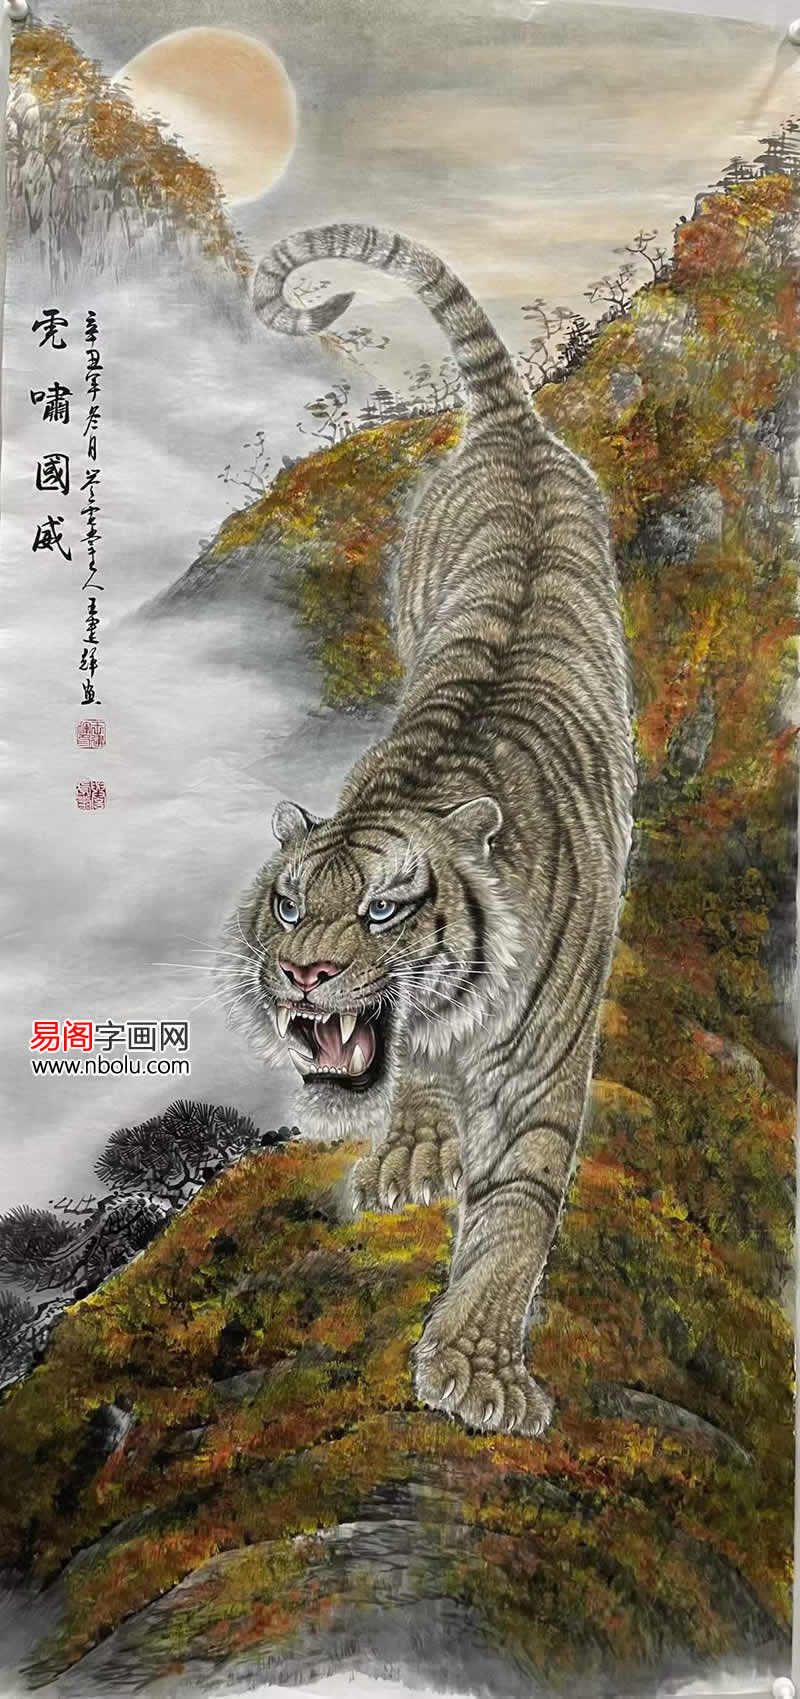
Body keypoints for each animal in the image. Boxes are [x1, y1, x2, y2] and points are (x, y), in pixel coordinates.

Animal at [226, 223, 636, 1437]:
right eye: (286, 904)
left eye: (382, 908)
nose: (304, 975)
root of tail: (512, 431)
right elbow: (407, 1071)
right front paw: (411, 1150)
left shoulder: (543, 1074)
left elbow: (514, 1215)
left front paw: (477, 1367)